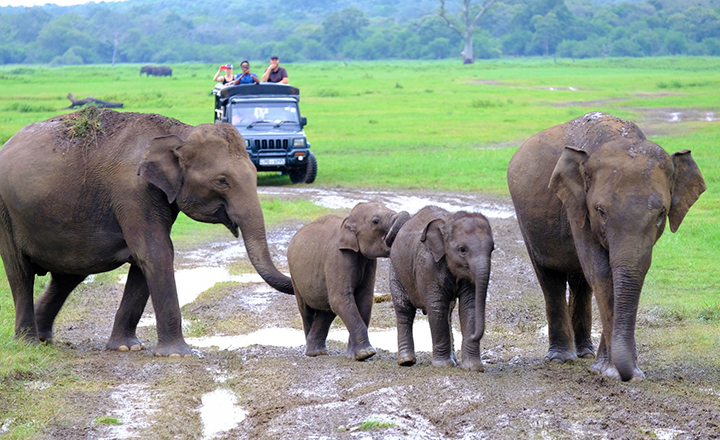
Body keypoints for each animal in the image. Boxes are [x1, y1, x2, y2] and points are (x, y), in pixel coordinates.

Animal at [0, 107, 292, 358]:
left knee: (67, 276)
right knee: (20, 272)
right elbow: (156, 252)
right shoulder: (132, 190)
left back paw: (43, 338)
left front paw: (126, 348)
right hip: (6, 211)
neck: (178, 133)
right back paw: (28, 342)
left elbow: (146, 258)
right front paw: (177, 354)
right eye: (222, 181)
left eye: (255, 173)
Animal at [388, 206, 496, 372]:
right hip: (396, 270)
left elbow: (469, 306)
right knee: (404, 310)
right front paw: (443, 365)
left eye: (492, 249)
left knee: (449, 313)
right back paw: (406, 361)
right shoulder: (427, 265)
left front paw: (473, 368)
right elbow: (437, 307)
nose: (473, 336)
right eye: (462, 249)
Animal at [510, 111, 704, 380]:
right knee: (550, 277)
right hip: (527, 221)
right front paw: (611, 372)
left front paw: (619, 370)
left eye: (661, 214)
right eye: (600, 211)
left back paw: (585, 354)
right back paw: (561, 358)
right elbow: (601, 272)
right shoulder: (577, 206)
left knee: (581, 282)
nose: (629, 374)